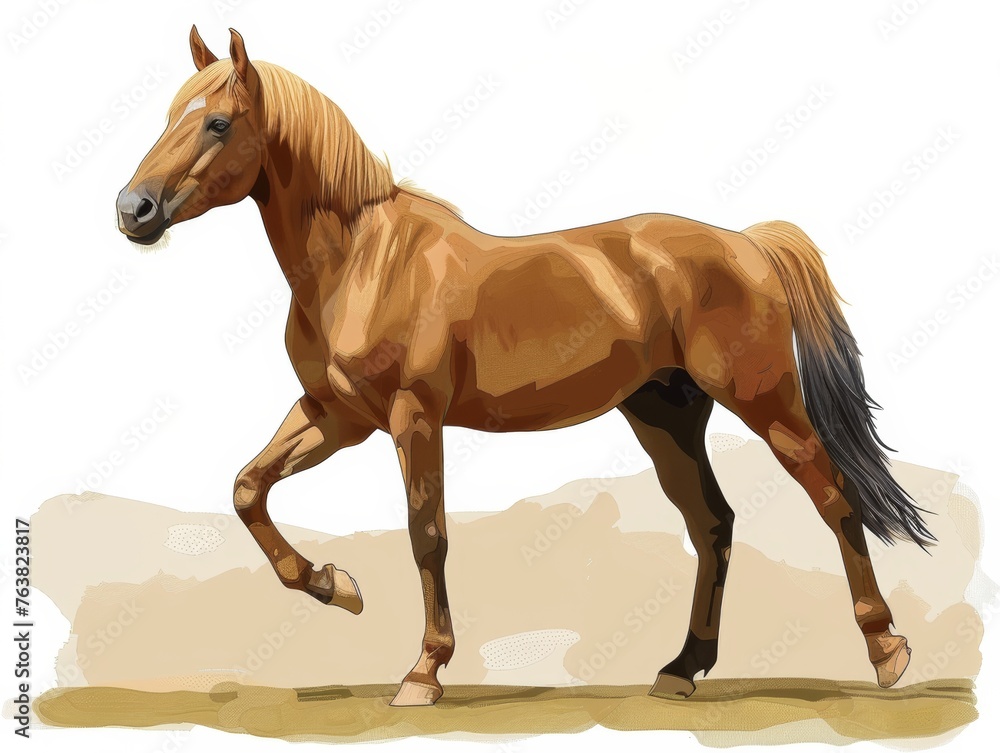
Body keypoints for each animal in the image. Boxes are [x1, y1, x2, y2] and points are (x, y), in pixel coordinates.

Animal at [116, 27, 931, 706]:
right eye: (168, 115)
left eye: (218, 122)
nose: (134, 209)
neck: (363, 259)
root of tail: (748, 242)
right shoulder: (336, 416)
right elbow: (248, 488)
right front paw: (333, 586)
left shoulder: (413, 418)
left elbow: (427, 532)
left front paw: (423, 672)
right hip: (664, 415)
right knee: (712, 523)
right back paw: (682, 668)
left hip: (765, 402)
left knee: (832, 496)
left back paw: (886, 652)